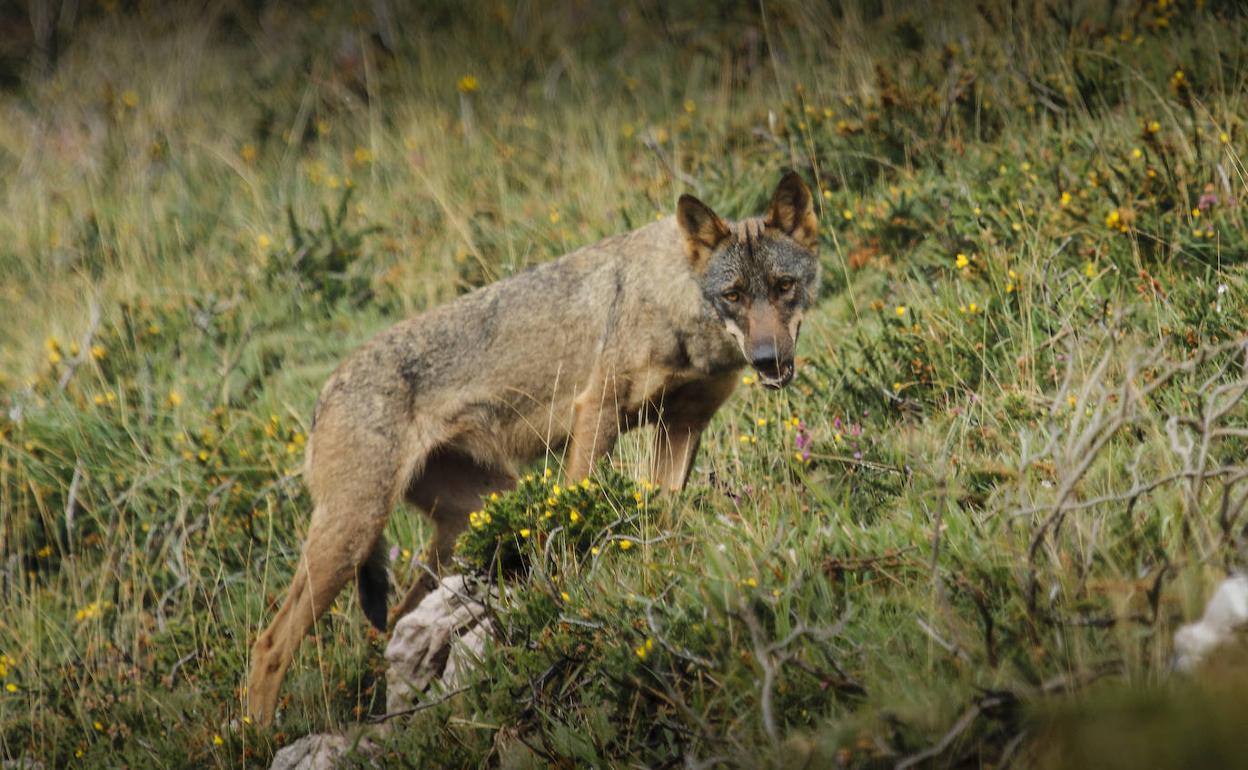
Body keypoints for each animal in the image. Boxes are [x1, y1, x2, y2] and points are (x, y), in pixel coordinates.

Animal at [248, 170, 823, 723]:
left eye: (784, 285)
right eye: (733, 295)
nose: (768, 359)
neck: (677, 303)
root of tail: (325, 392)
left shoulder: (681, 427)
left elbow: (660, 516)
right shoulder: (596, 411)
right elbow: (575, 519)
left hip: (467, 518)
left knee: (394, 622)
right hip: (353, 536)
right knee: (270, 644)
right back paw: (256, 734)